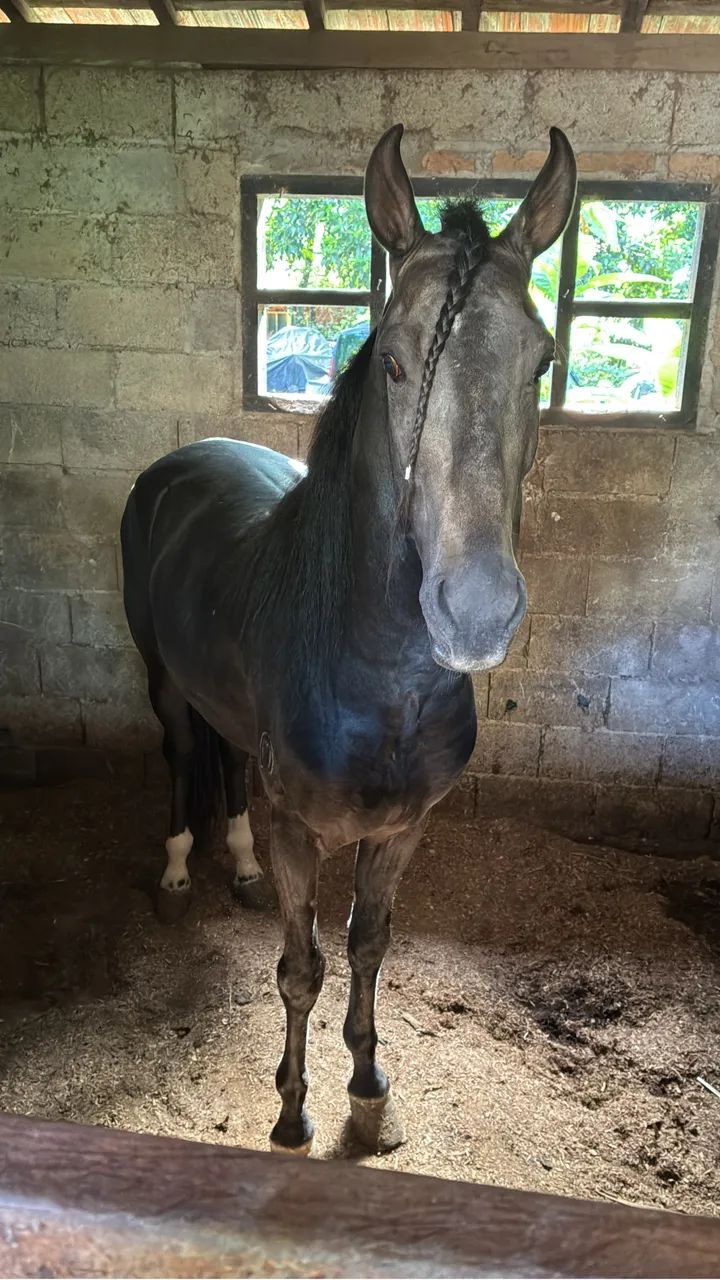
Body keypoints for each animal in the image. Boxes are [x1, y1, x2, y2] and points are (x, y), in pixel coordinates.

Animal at [121, 122, 577, 1156]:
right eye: (397, 363)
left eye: (540, 361)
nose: (477, 609)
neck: (380, 682)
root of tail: (180, 463)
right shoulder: (300, 832)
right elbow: (303, 968)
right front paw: (293, 1112)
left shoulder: (404, 829)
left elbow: (368, 948)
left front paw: (369, 1089)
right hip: (162, 679)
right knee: (181, 754)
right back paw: (178, 869)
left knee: (221, 766)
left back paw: (237, 865)